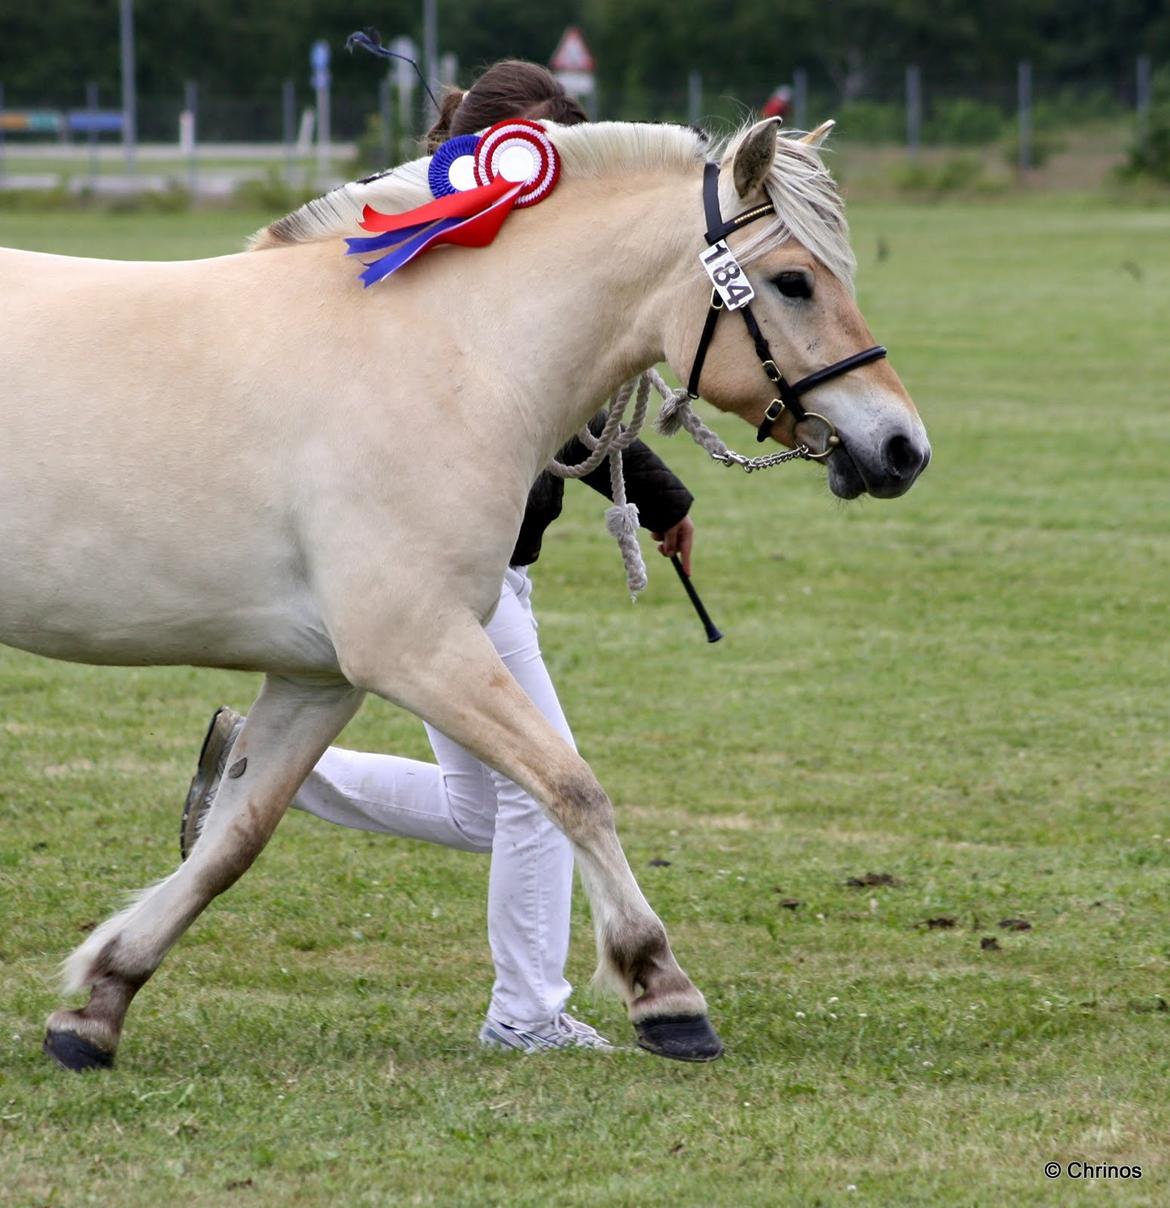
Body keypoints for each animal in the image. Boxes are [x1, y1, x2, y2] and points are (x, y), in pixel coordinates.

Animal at [0, 117, 932, 1072]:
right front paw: (661, 988)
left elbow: (234, 840)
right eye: (793, 281)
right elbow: (573, 787)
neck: (452, 355)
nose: (903, 448)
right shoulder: (419, 648)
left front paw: (99, 1003)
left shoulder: (320, 679)